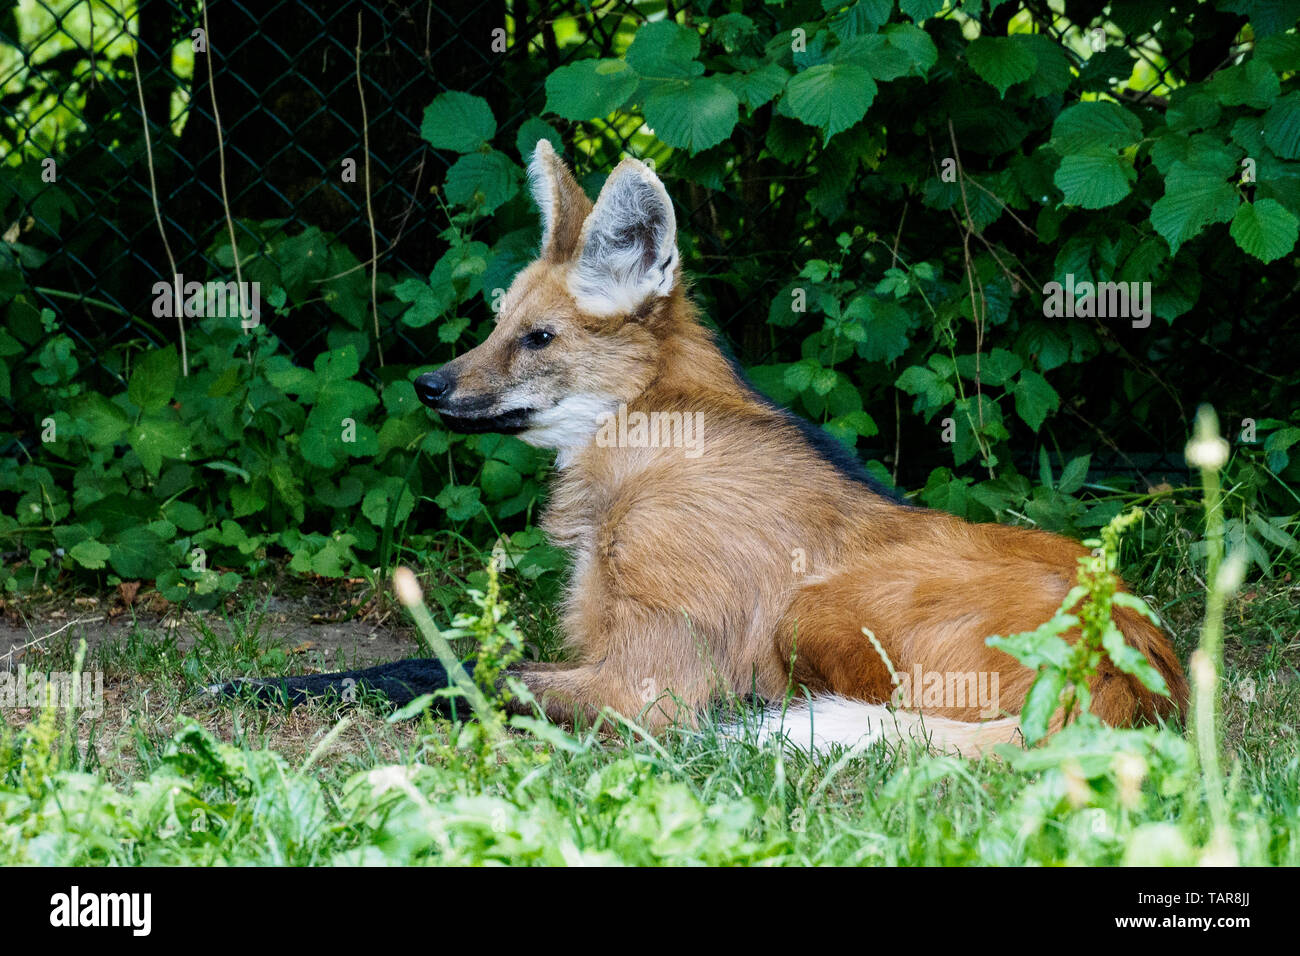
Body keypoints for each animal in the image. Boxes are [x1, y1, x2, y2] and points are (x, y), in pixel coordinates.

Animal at [223, 141, 1190, 754]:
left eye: (537, 339)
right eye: (497, 327)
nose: (428, 387)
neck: (643, 445)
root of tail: (1131, 679)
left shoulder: (647, 687)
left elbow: (443, 670)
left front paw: (257, 689)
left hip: (817, 607)